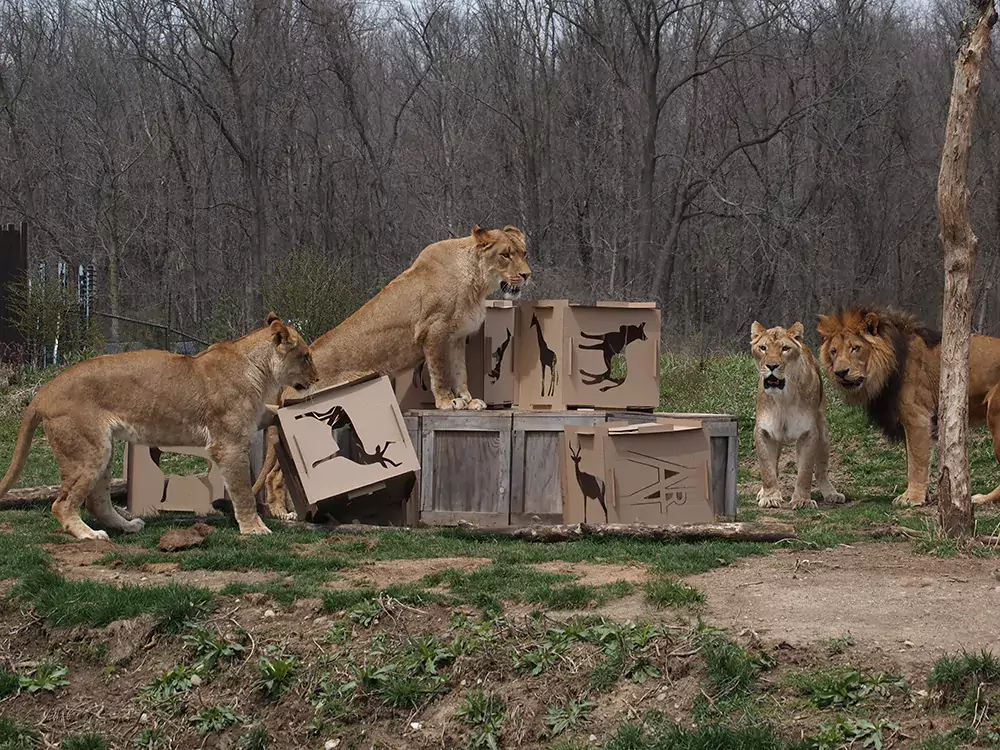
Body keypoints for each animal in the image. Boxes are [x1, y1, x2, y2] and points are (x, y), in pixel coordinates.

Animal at [254, 223, 532, 520]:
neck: (477, 283)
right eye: (505, 254)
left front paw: (469, 401)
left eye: (524, 253)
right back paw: (283, 514)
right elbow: (441, 372)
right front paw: (448, 402)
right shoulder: (434, 331)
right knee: (276, 475)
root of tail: (285, 385)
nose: (527, 275)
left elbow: (460, 372)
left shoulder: (457, 337)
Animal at [752, 324, 844, 512]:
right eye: (763, 348)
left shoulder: (809, 433)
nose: (771, 365)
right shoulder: (763, 431)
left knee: (821, 471)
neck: (783, 398)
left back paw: (832, 494)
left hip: (823, 433)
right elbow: (767, 468)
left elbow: (805, 471)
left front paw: (802, 501)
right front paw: (770, 497)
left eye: (785, 349)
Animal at [816, 304, 1000, 506]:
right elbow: (916, 458)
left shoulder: (917, 418)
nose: (841, 372)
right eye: (833, 351)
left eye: (855, 348)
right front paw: (924, 496)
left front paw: (912, 498)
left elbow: (916, 462)